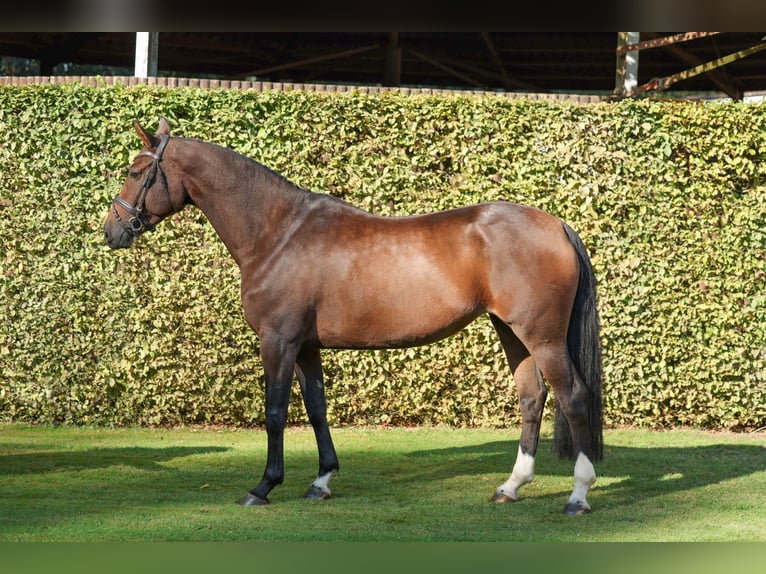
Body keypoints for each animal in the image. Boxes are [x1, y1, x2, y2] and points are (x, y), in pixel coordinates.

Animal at [104, 117, 603, 515]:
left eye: (135, 172)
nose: (112, 231)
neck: (279, 233)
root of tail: (557, 224)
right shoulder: (305, 346)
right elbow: (317, 409)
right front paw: (321, 480)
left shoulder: (278, 341)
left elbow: (275, 412)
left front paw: (263, 487)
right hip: (512, 332)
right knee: (532, 398)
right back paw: (511, 487)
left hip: (542, 337)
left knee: (574, 397)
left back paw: (577, 496)